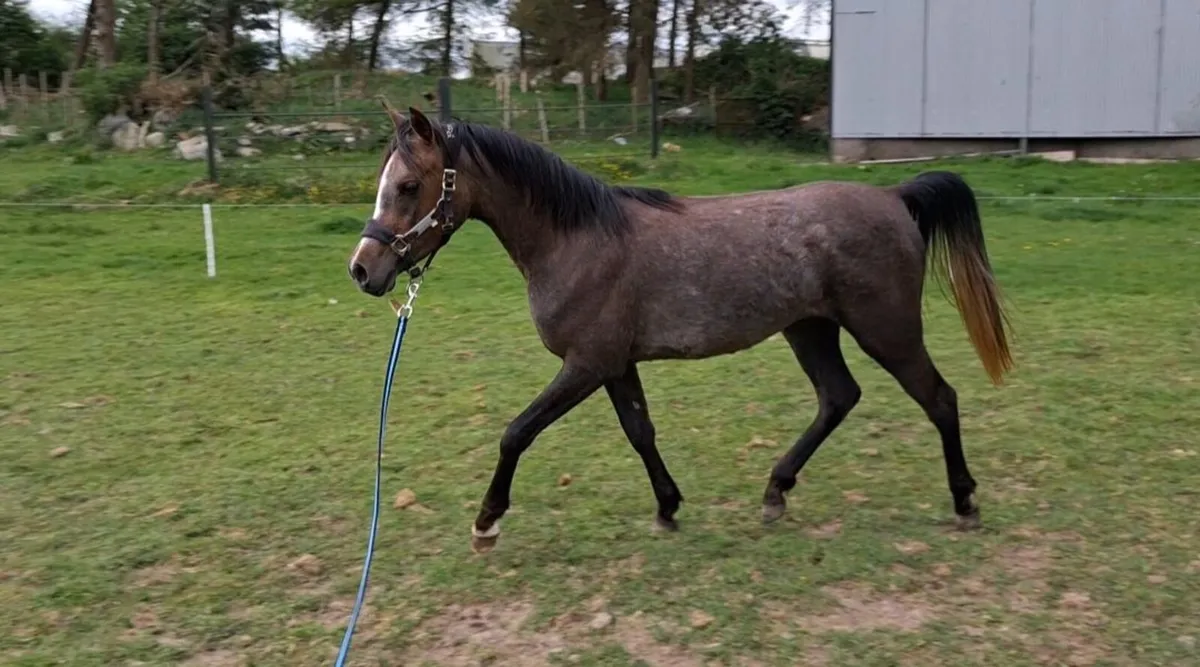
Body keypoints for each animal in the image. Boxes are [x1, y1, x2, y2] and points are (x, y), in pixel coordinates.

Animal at [347, 104, 1013, 553]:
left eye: (409, 185)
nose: (362, 269)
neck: (576, 239)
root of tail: (896, 196)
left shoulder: (586, 364)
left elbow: (516, 433)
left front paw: (487, 521)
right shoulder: (615, 365)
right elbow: (640, 431)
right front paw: (667, 507)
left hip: (887, 331)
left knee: (939, 399)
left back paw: (964, 501)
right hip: (811, 329)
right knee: (838, 397)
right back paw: (776, 491)